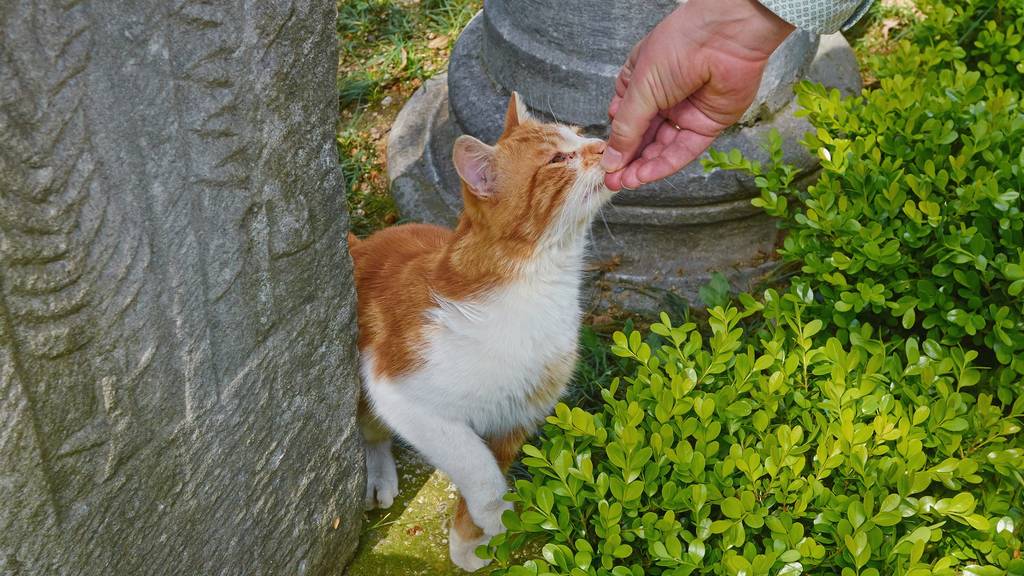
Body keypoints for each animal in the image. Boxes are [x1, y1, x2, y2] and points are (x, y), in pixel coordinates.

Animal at [348, 91, 610, 565]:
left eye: (579, 136)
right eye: (558, 158)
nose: (603, 145)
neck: (540, 283)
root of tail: (361, 243)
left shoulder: (515, 416)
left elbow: (487, 472)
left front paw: (469, 541)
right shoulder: (401, 393)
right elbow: (479, 471)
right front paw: (496, 516)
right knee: (371, 430)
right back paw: (377, 474)